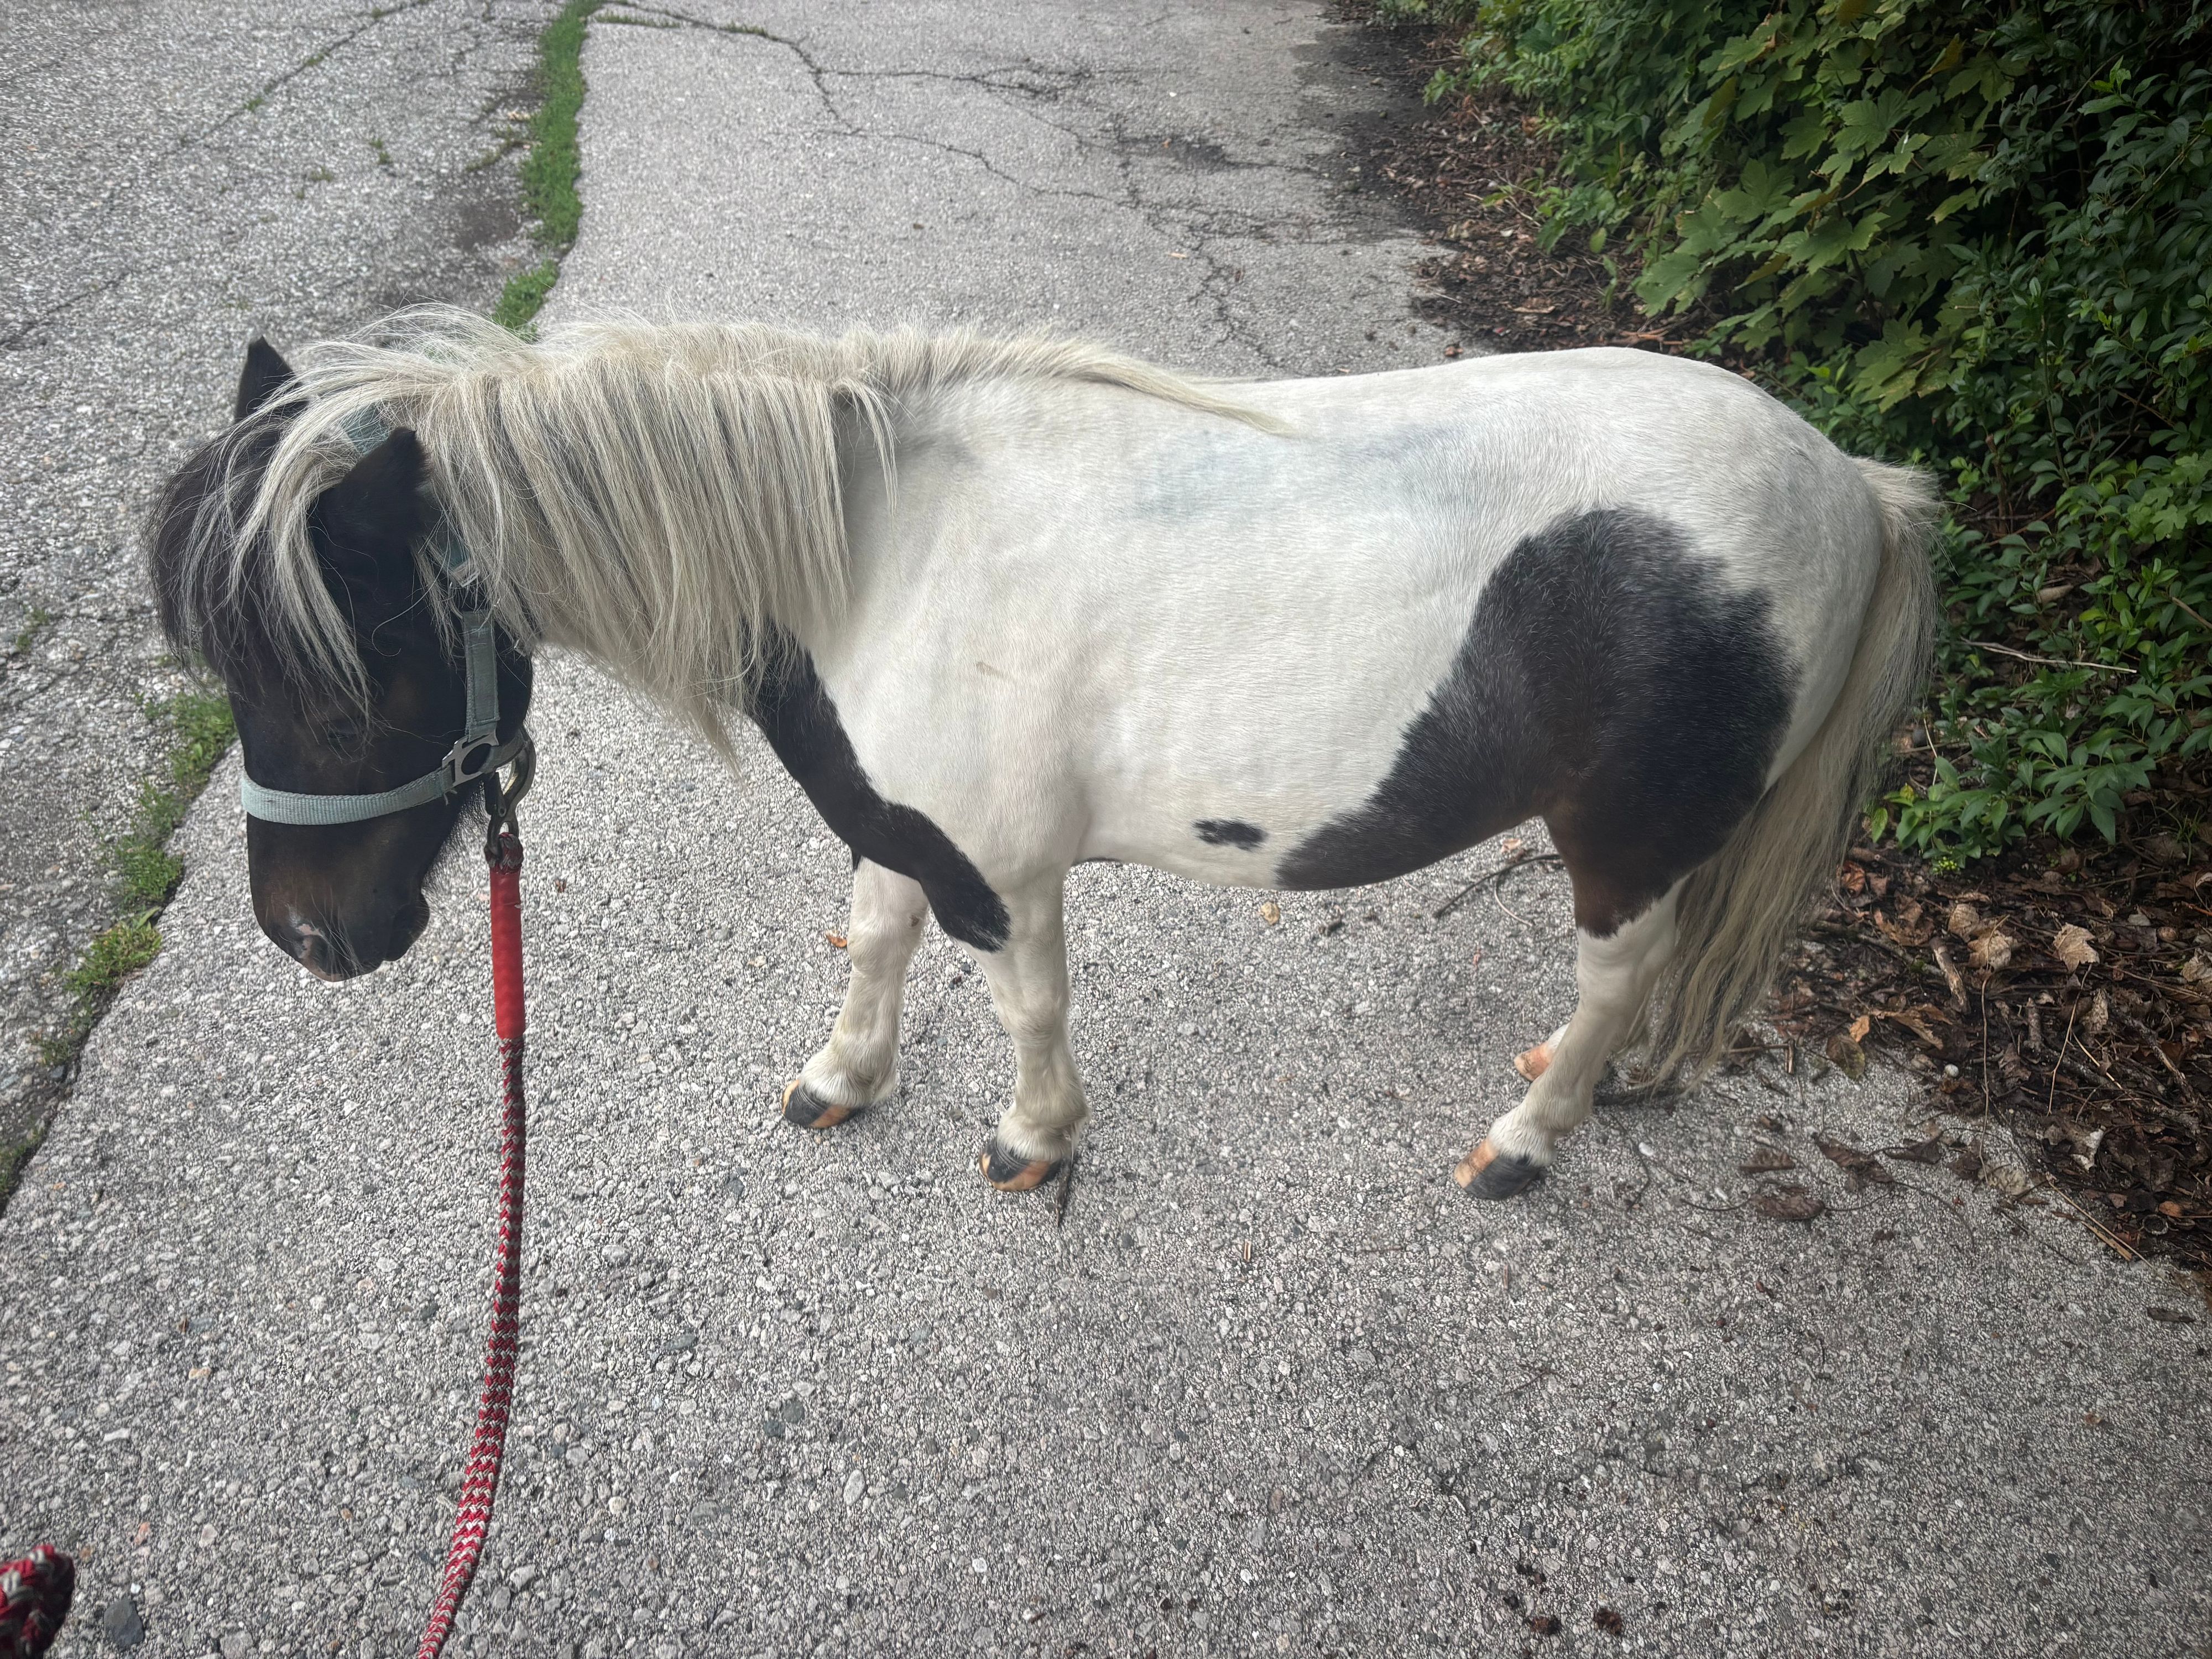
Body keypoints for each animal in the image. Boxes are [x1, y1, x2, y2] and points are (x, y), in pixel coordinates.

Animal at [149, 307, 1934, 1200]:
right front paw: (843, 1078)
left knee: (1622, 971)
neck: (871, 553)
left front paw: (1032, 1138)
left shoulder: (1001, 869)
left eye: (351, 670)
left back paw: (1526, 1138)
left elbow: (1023, 1005)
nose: (307, 936)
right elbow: (871, 935)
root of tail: (1847, 484)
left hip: (1617, 837)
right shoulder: (900, 824)